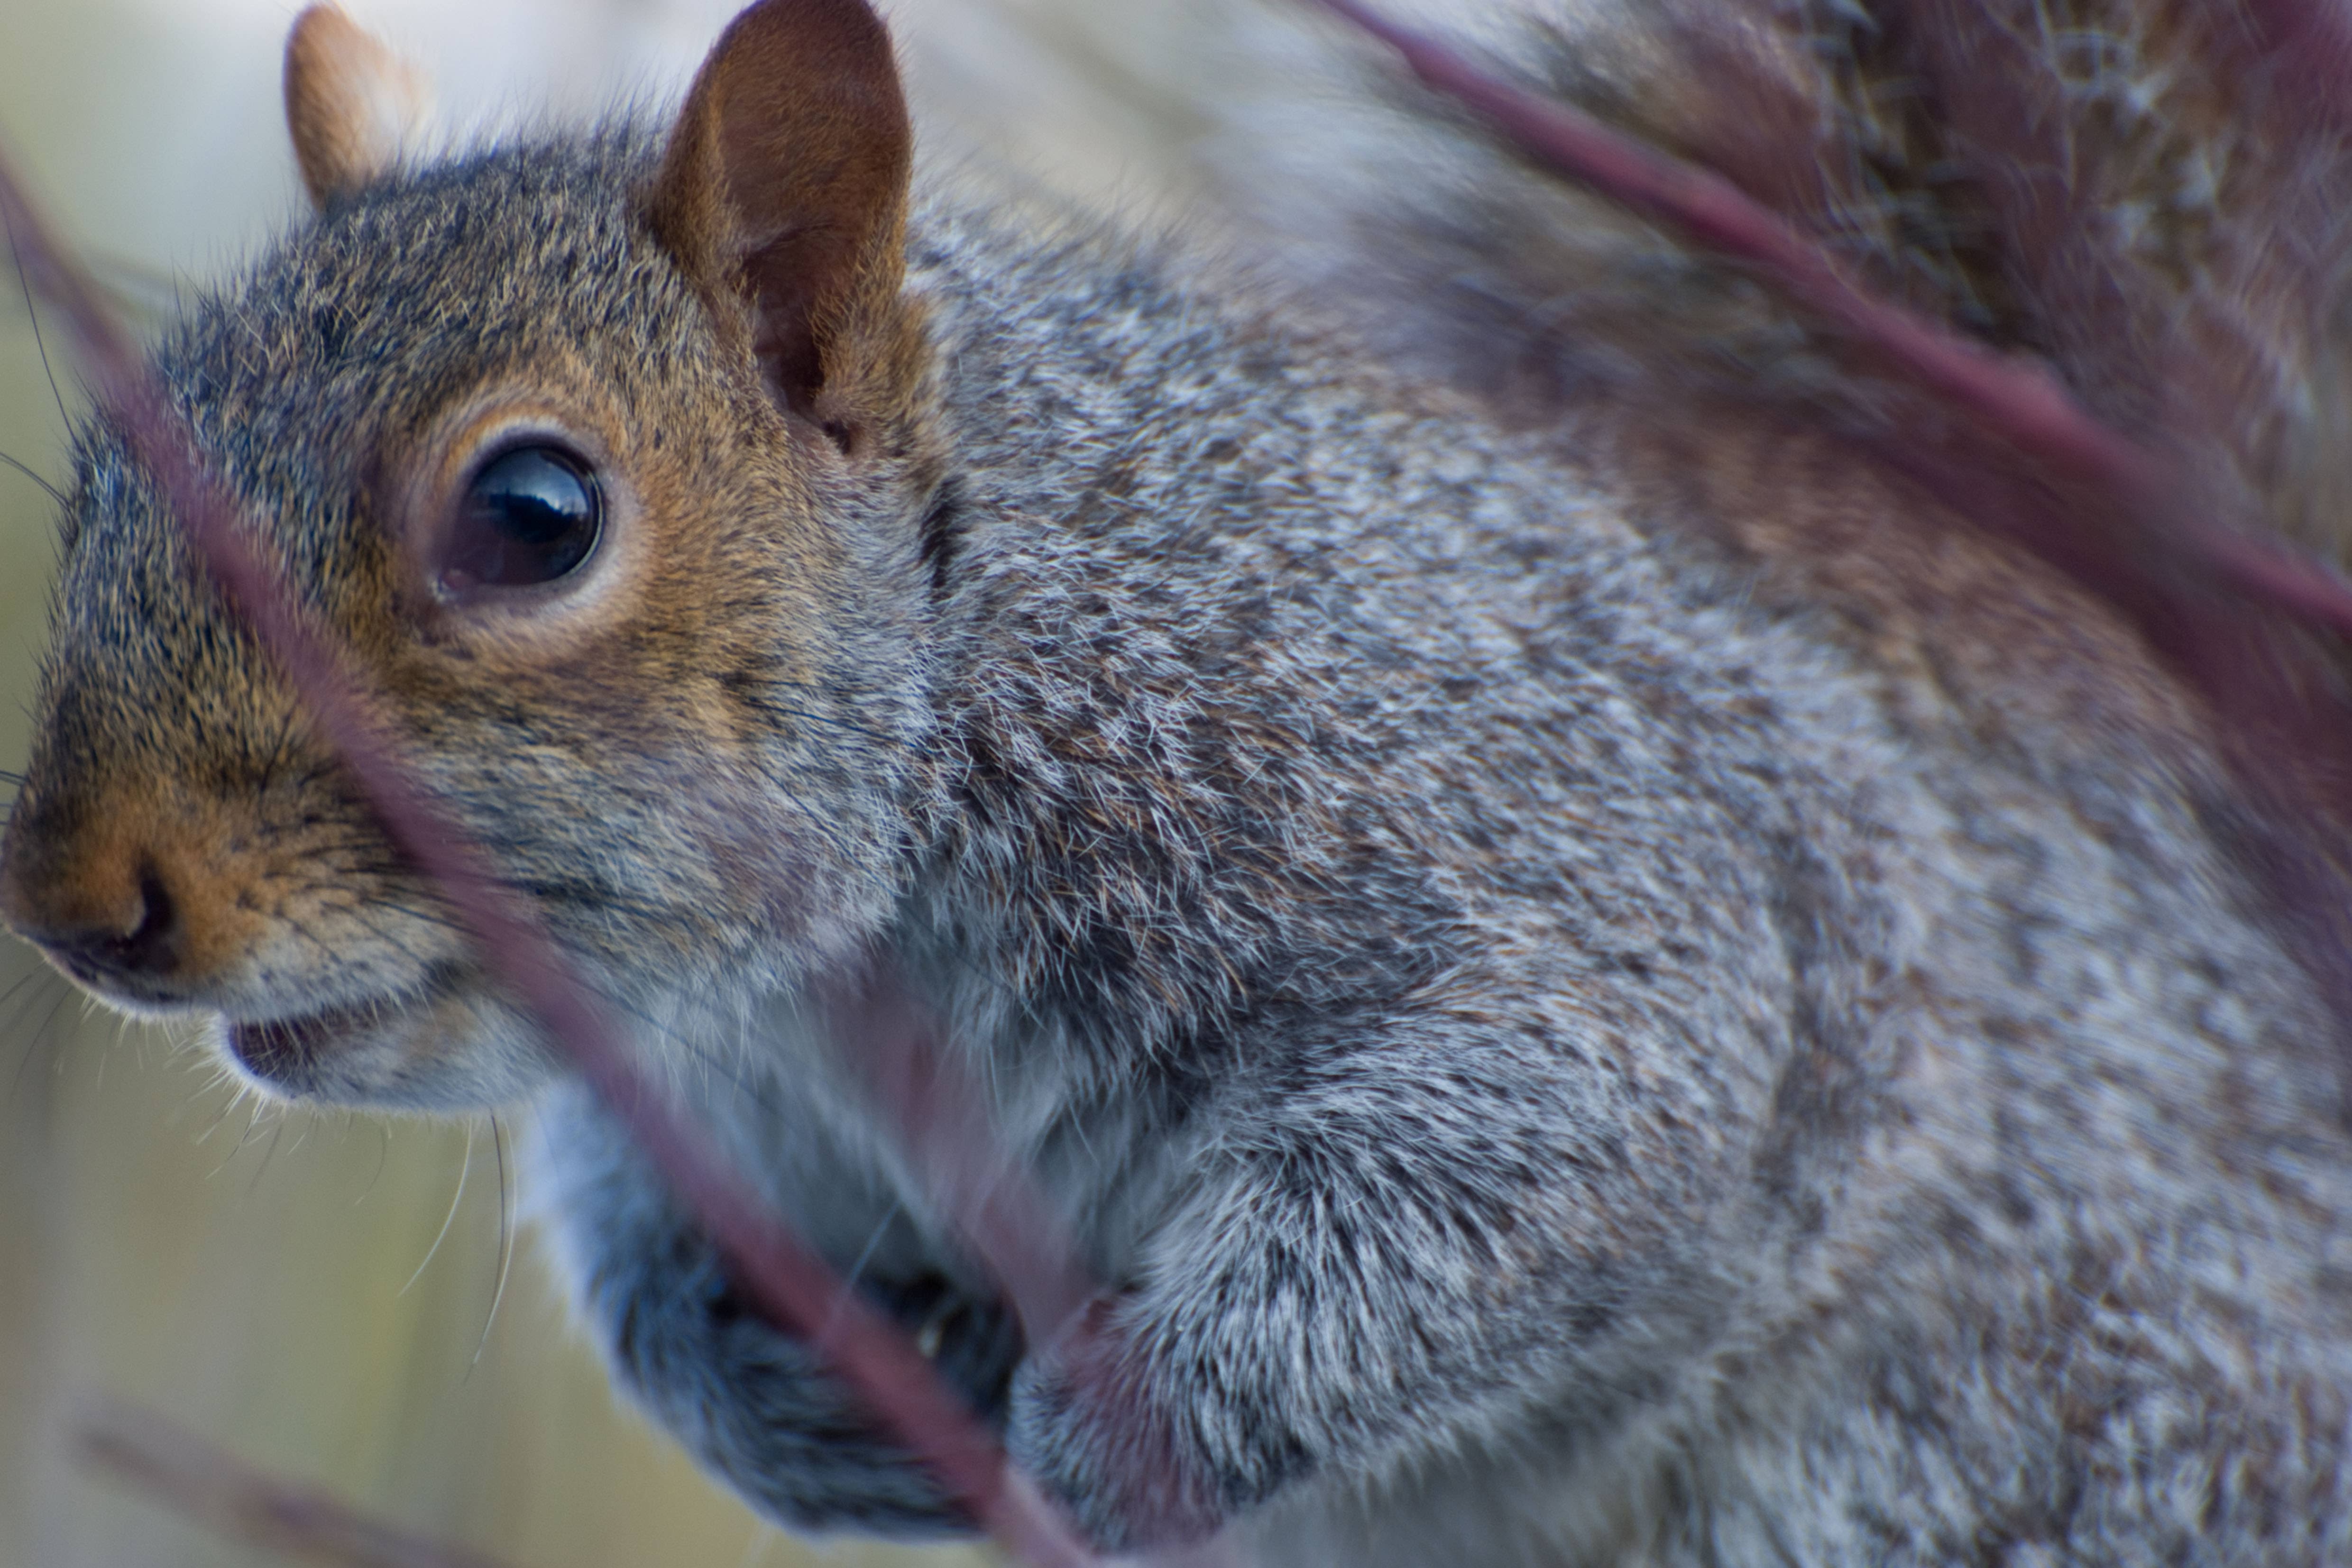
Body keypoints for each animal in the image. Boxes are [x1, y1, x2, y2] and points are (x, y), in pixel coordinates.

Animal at [4, 0, 2352, 1561]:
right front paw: (777, 1405)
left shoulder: (1504, 824)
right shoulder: (676, 1095)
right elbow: (628, 1244)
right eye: (107, 472)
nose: (78, 898)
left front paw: (1112, 1440)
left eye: (532, 515)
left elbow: (1562, 1124)